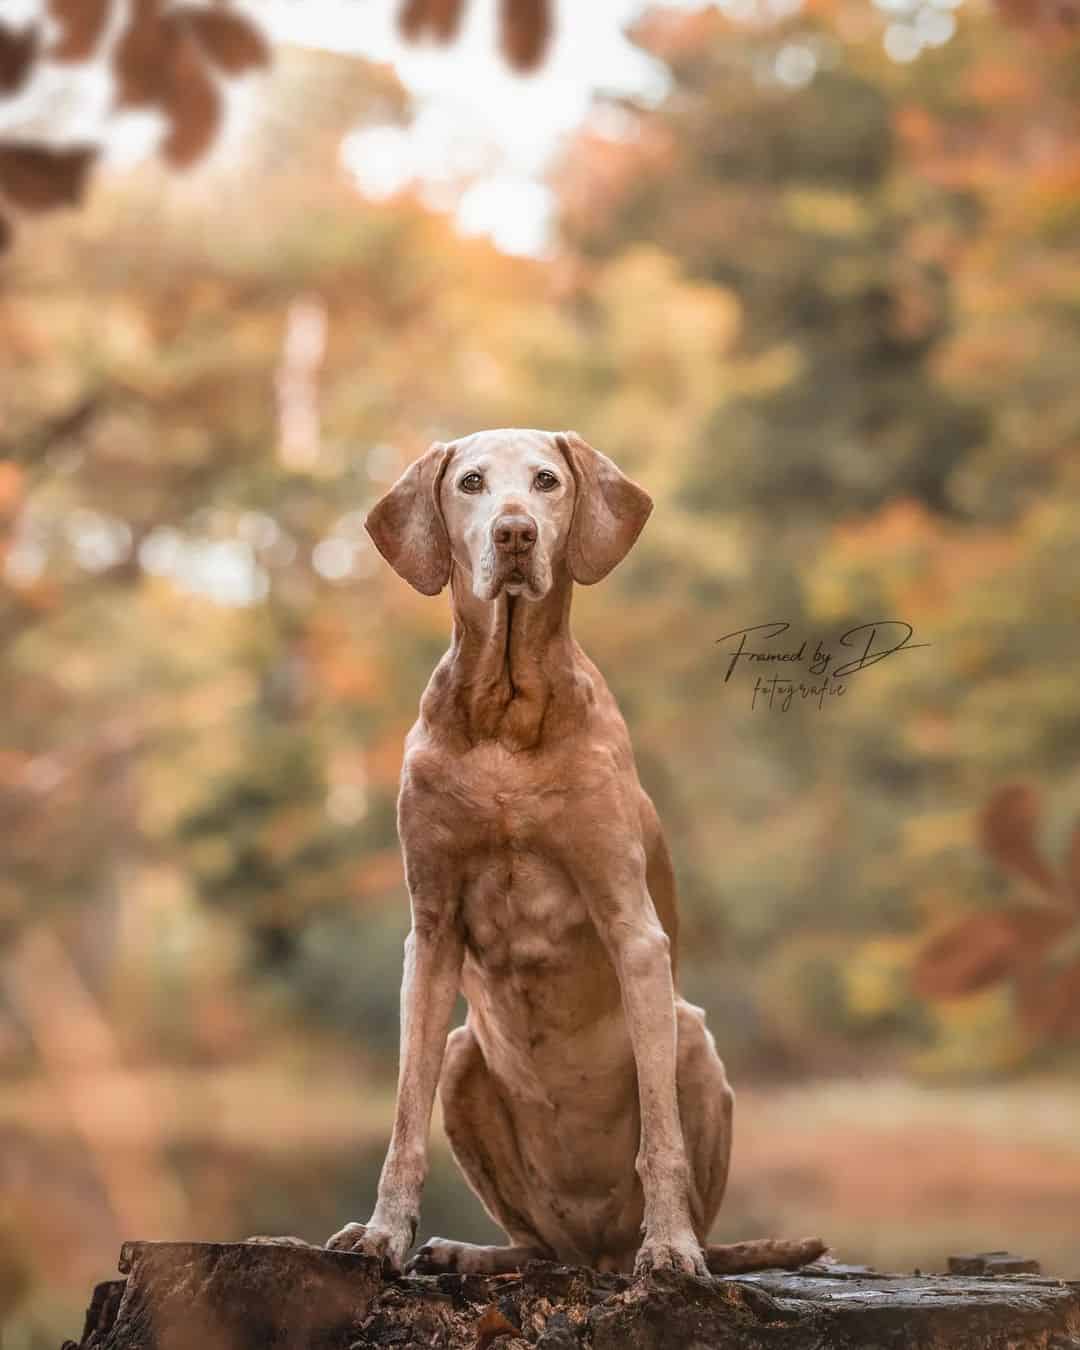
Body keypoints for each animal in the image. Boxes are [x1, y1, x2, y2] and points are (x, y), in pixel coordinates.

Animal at [329, 429, 826, 1274]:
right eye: (470, 482)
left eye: (547, 481)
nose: (515, 534)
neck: (505, 709)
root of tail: (593, 1254)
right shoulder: (430, 929)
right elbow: (402, 1122)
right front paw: (384, 1233)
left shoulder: (634, 928)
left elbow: (661, 1140)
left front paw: (670, 1248)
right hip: (466, 1058)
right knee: (535, 1244)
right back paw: (472, 1252)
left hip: (691, 1036)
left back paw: (669, 1244)